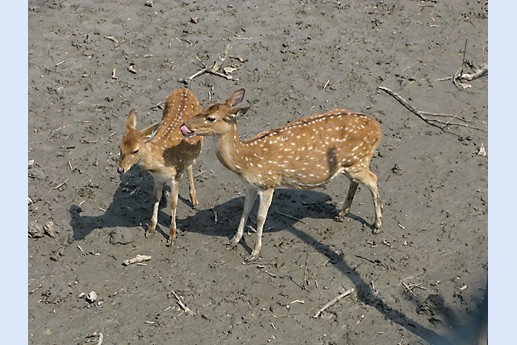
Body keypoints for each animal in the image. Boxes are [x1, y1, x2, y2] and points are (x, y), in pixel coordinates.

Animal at [118, 88, 203, 245]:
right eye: (119, 147)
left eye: (135, 150)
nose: (120, 169)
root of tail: (184, 89)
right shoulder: (156, 178)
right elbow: (155, 198)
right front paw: (150, 229)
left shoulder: (175, 177)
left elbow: (174, 203)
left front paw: (172, 236)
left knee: (189, 167)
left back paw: (194, 200)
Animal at [179, 88, 380, 258]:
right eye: (204, 107)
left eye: (211, 118)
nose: (185, 125)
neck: (244, 161)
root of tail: (378, 128)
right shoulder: (250, 185)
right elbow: (245, 210)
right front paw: (234, 240)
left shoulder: (268, 183)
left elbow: (260, 218)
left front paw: (254, 253)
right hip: (350, 164)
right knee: (357, 181)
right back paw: (341, 214)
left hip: (358, 161)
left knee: (373, 179)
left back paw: (377, 225)